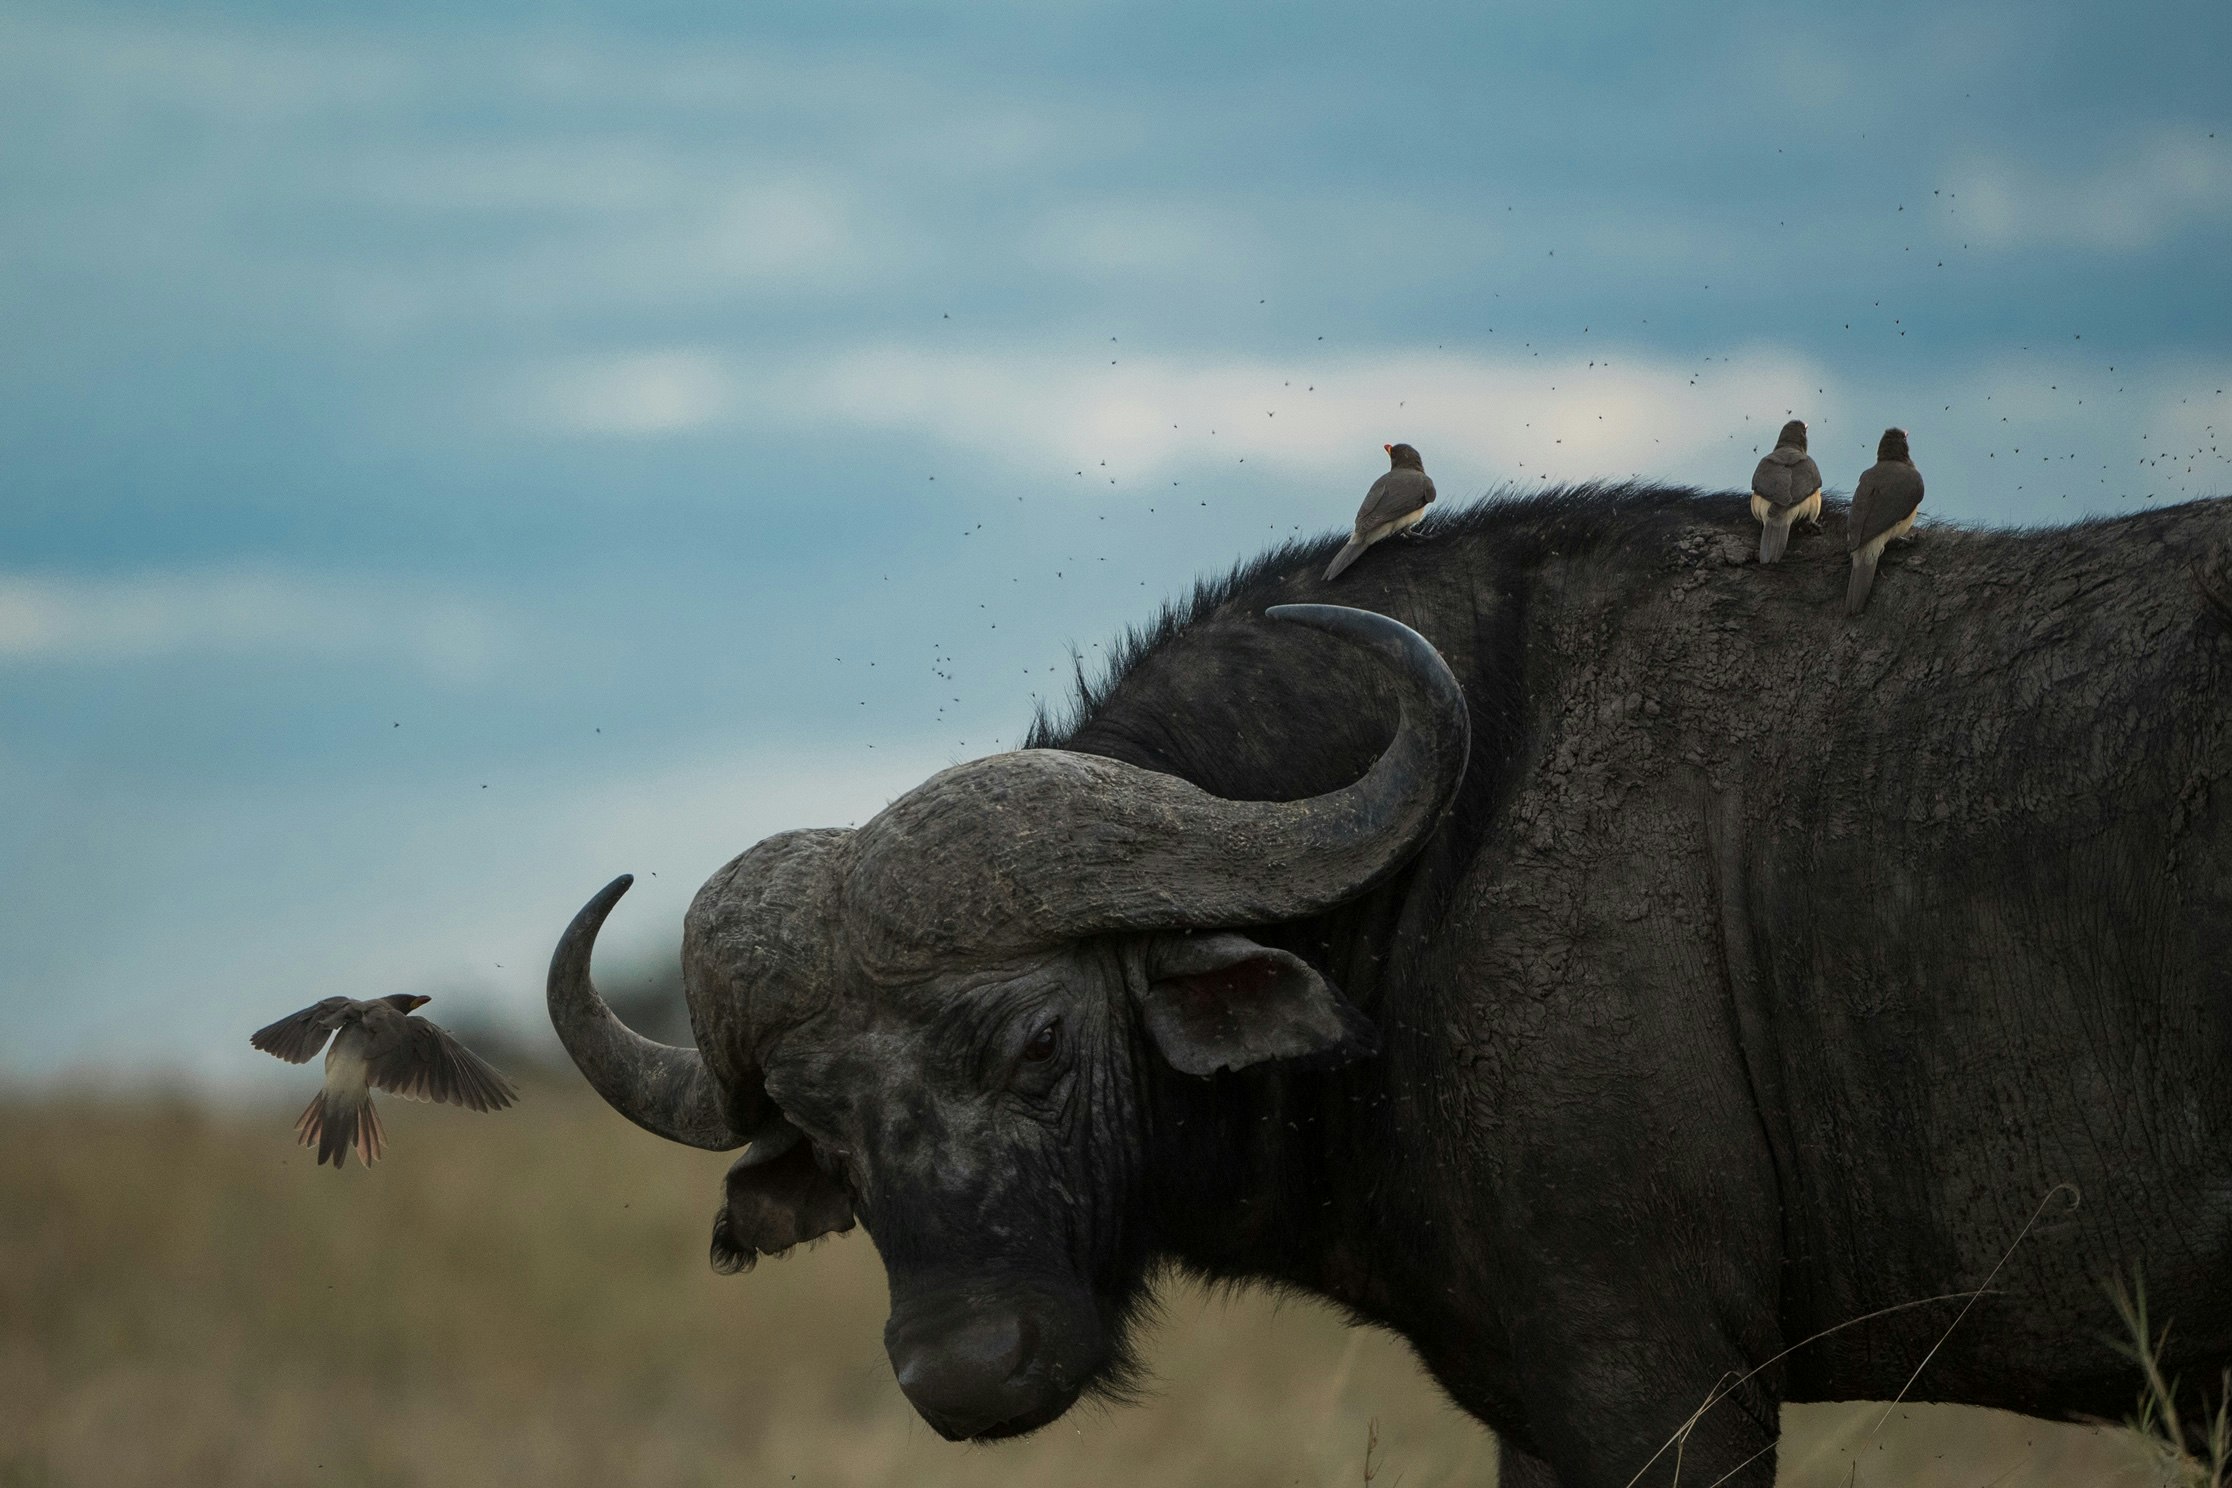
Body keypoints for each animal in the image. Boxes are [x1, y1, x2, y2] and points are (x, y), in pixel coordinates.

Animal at [544, 488, 2232, 1488]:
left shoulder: (1662, 1388)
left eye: (1035, 1044)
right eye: (823, 1130)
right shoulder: (1546, 1416)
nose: (965, 1371)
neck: (1434, 873)